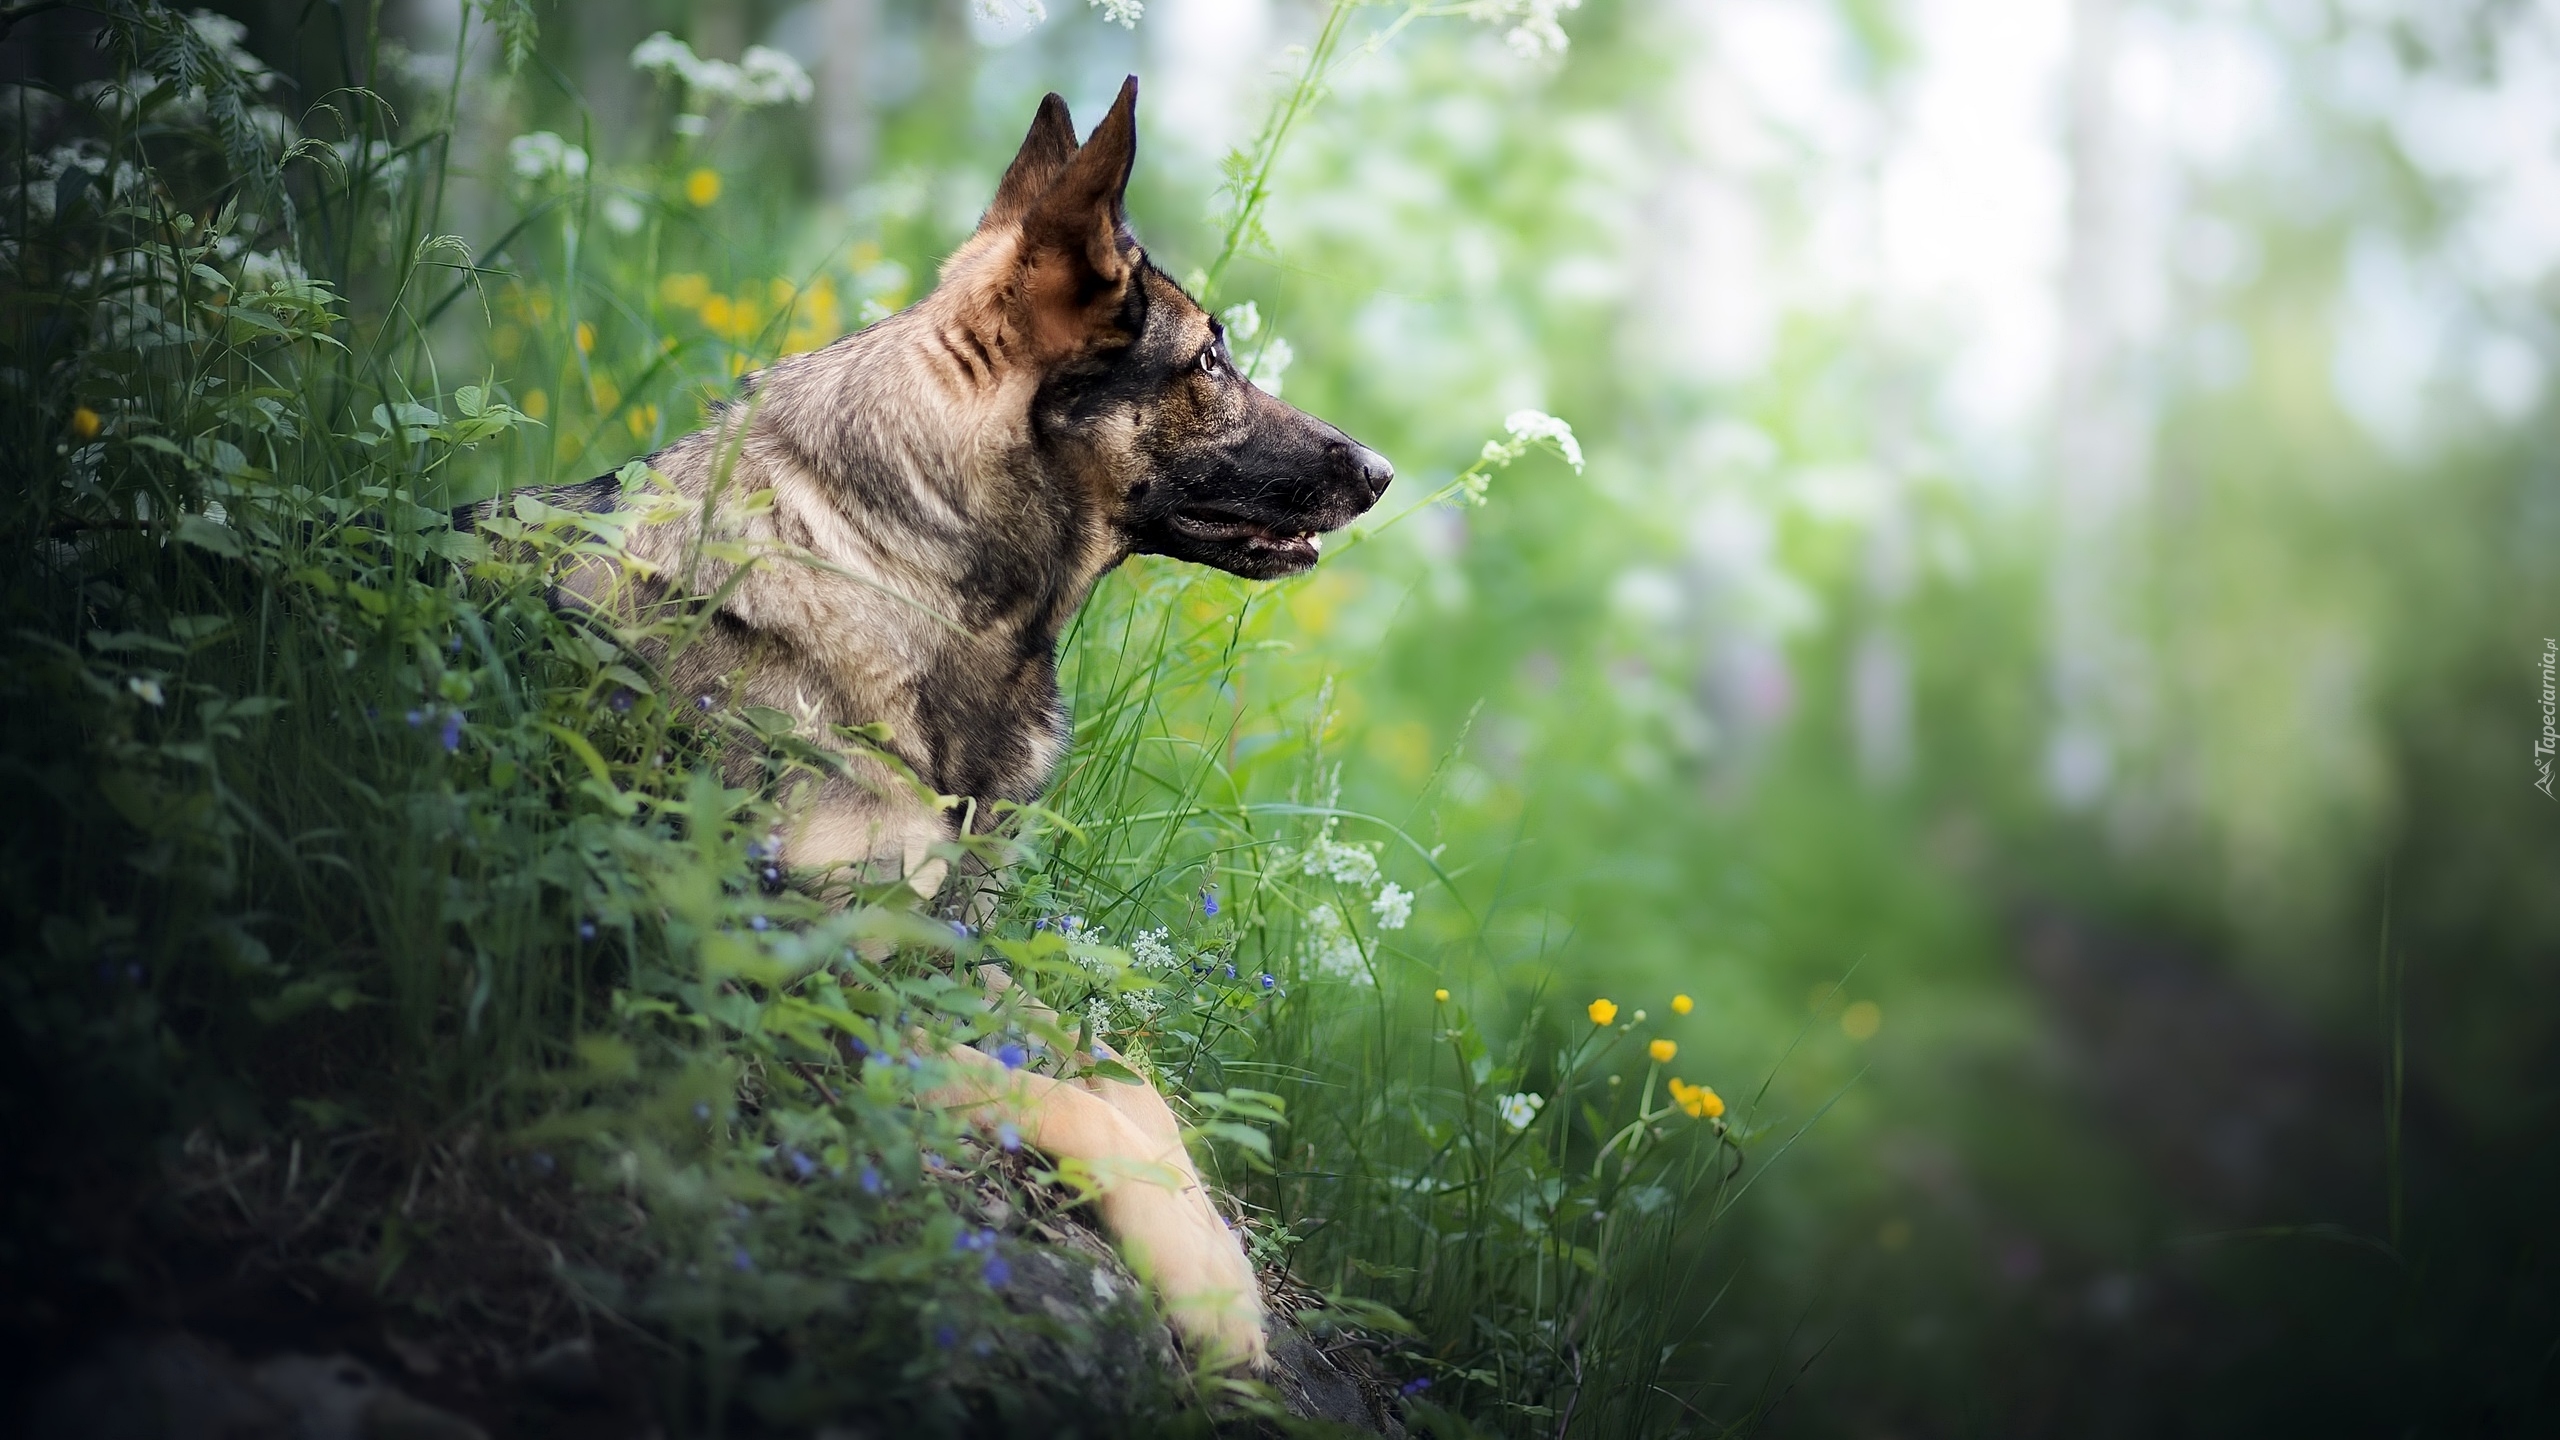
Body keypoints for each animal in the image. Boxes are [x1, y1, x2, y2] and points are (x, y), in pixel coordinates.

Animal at [519, 81, 1392, 1363]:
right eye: (1208, 359)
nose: (1381, 472)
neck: (897, 571)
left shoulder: (953, 950)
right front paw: (1206, 1290)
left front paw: (1208, 1251)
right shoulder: (791, 965)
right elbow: (1069, 1098)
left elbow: (1132, 1083)